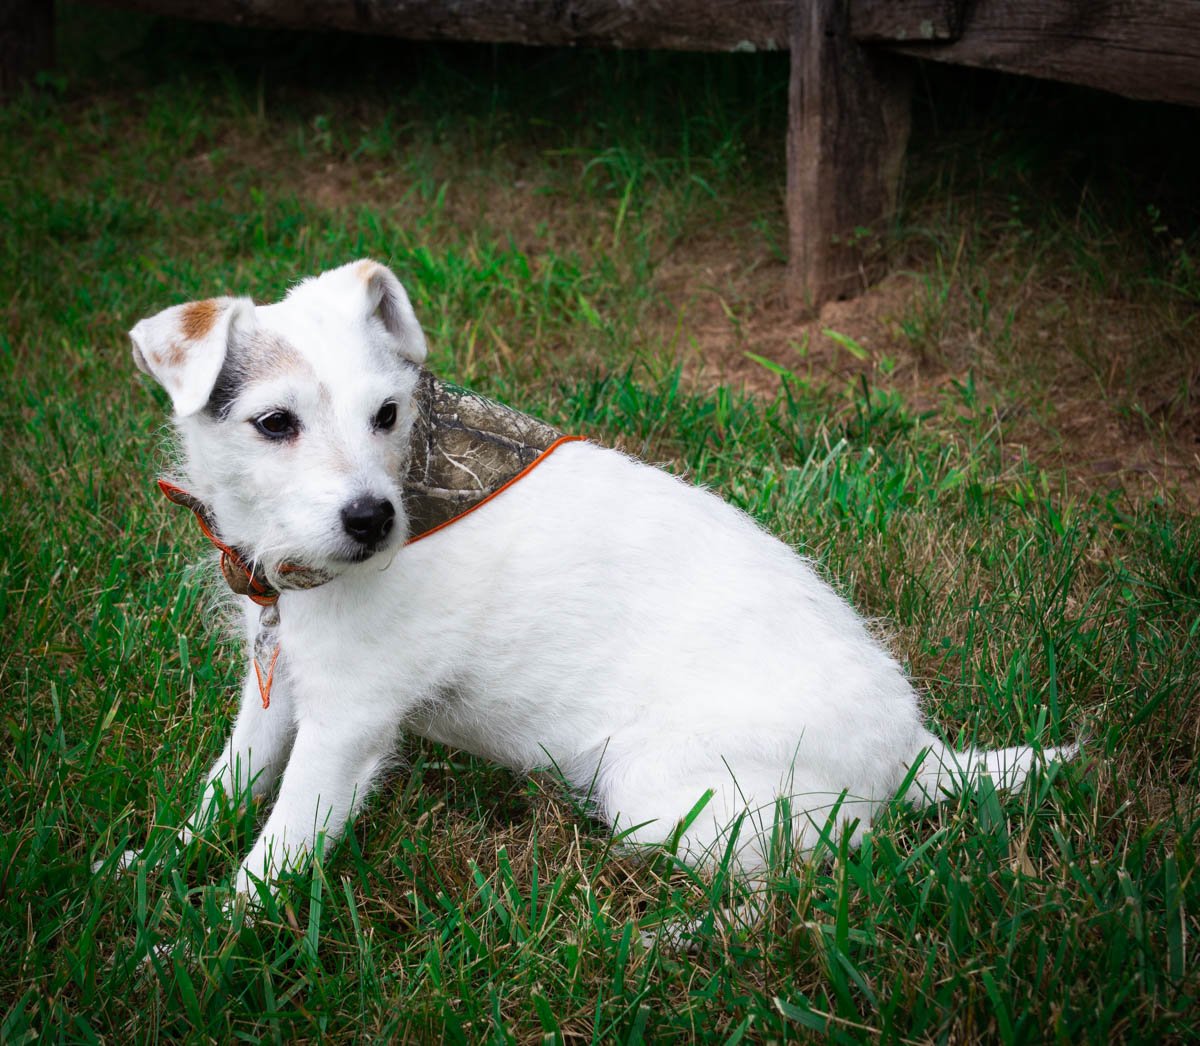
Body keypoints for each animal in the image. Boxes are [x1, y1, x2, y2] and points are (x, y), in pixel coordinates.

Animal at [121, 259, 1075, 897]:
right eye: (273, 423)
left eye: (387, 415)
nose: (373, 521)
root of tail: (916, 755)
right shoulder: (276, 685)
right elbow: (225, 787)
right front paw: (151, 862)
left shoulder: (347, 723)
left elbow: (276, 849)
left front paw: (197, 941)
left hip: (665, 797)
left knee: (786, 889)